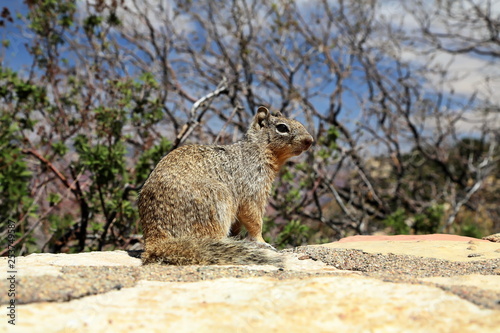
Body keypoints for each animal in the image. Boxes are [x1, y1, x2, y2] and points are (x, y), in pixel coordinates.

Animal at [138, 105, 312, 266]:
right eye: (282, 127)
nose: (310, 140)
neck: (258, 149)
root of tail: (155, 241)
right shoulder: (253, 190)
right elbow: (254, 220)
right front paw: (262, 242)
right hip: (217, 201)